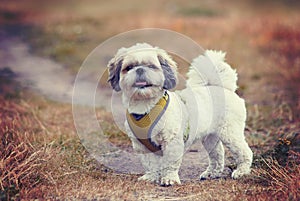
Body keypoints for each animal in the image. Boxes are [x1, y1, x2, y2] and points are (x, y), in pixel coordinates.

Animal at [106, 43, 252, 186]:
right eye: (128, 67)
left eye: (151, 66)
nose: (140, 70)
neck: (146, 107)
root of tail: (222, 87)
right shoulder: (142, 146)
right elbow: (150, 164)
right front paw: (151, 177)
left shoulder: (172, 141)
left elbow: (170, 163)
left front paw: (169, 179)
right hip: (210, 137)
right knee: (217, 154)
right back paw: (212, 173)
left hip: (230, 133)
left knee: (244, 151)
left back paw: (241, 171)